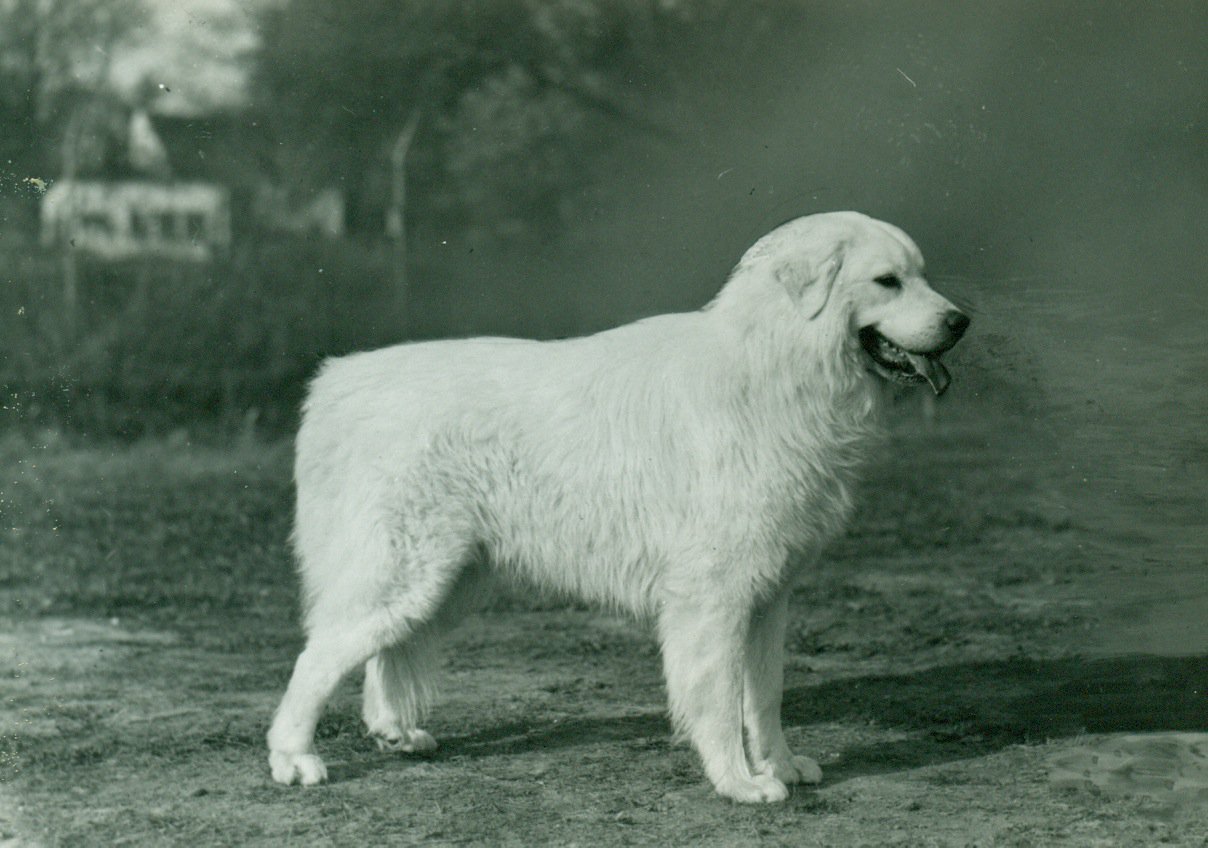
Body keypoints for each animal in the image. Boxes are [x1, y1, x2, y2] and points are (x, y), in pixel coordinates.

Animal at [269, 211, 966, 802]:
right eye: (888, 281)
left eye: (922, 275)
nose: (961, 321)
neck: (774, 365)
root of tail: (336, 381)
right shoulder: (712, 598)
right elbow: (718, 699)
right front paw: (740, 784)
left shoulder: (769, 597)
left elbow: (764, 697)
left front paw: (782, 765)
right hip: (407, 572)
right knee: (317, 657)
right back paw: (293, 759)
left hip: (446, 580)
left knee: (381, 654)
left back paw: (396, 732)